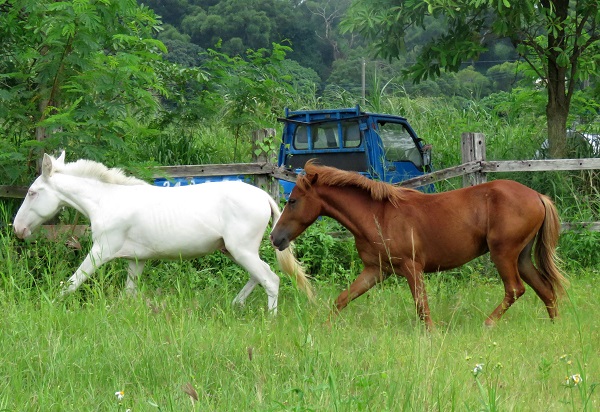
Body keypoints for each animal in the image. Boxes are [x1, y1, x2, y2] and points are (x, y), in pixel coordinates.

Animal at [270, 161, 568, 328]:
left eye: (293, 200)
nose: (275, 238)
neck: (378, 215)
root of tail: (538, 197)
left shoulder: (412, 268)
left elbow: (422, 307)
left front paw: (432, 335)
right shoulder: (376, 270)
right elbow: (342, 299)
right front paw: (322, 327)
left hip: (503, 253)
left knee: (516, 289)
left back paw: (488, 324)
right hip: (522, 257)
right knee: (546, 290)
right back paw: (555, 329)